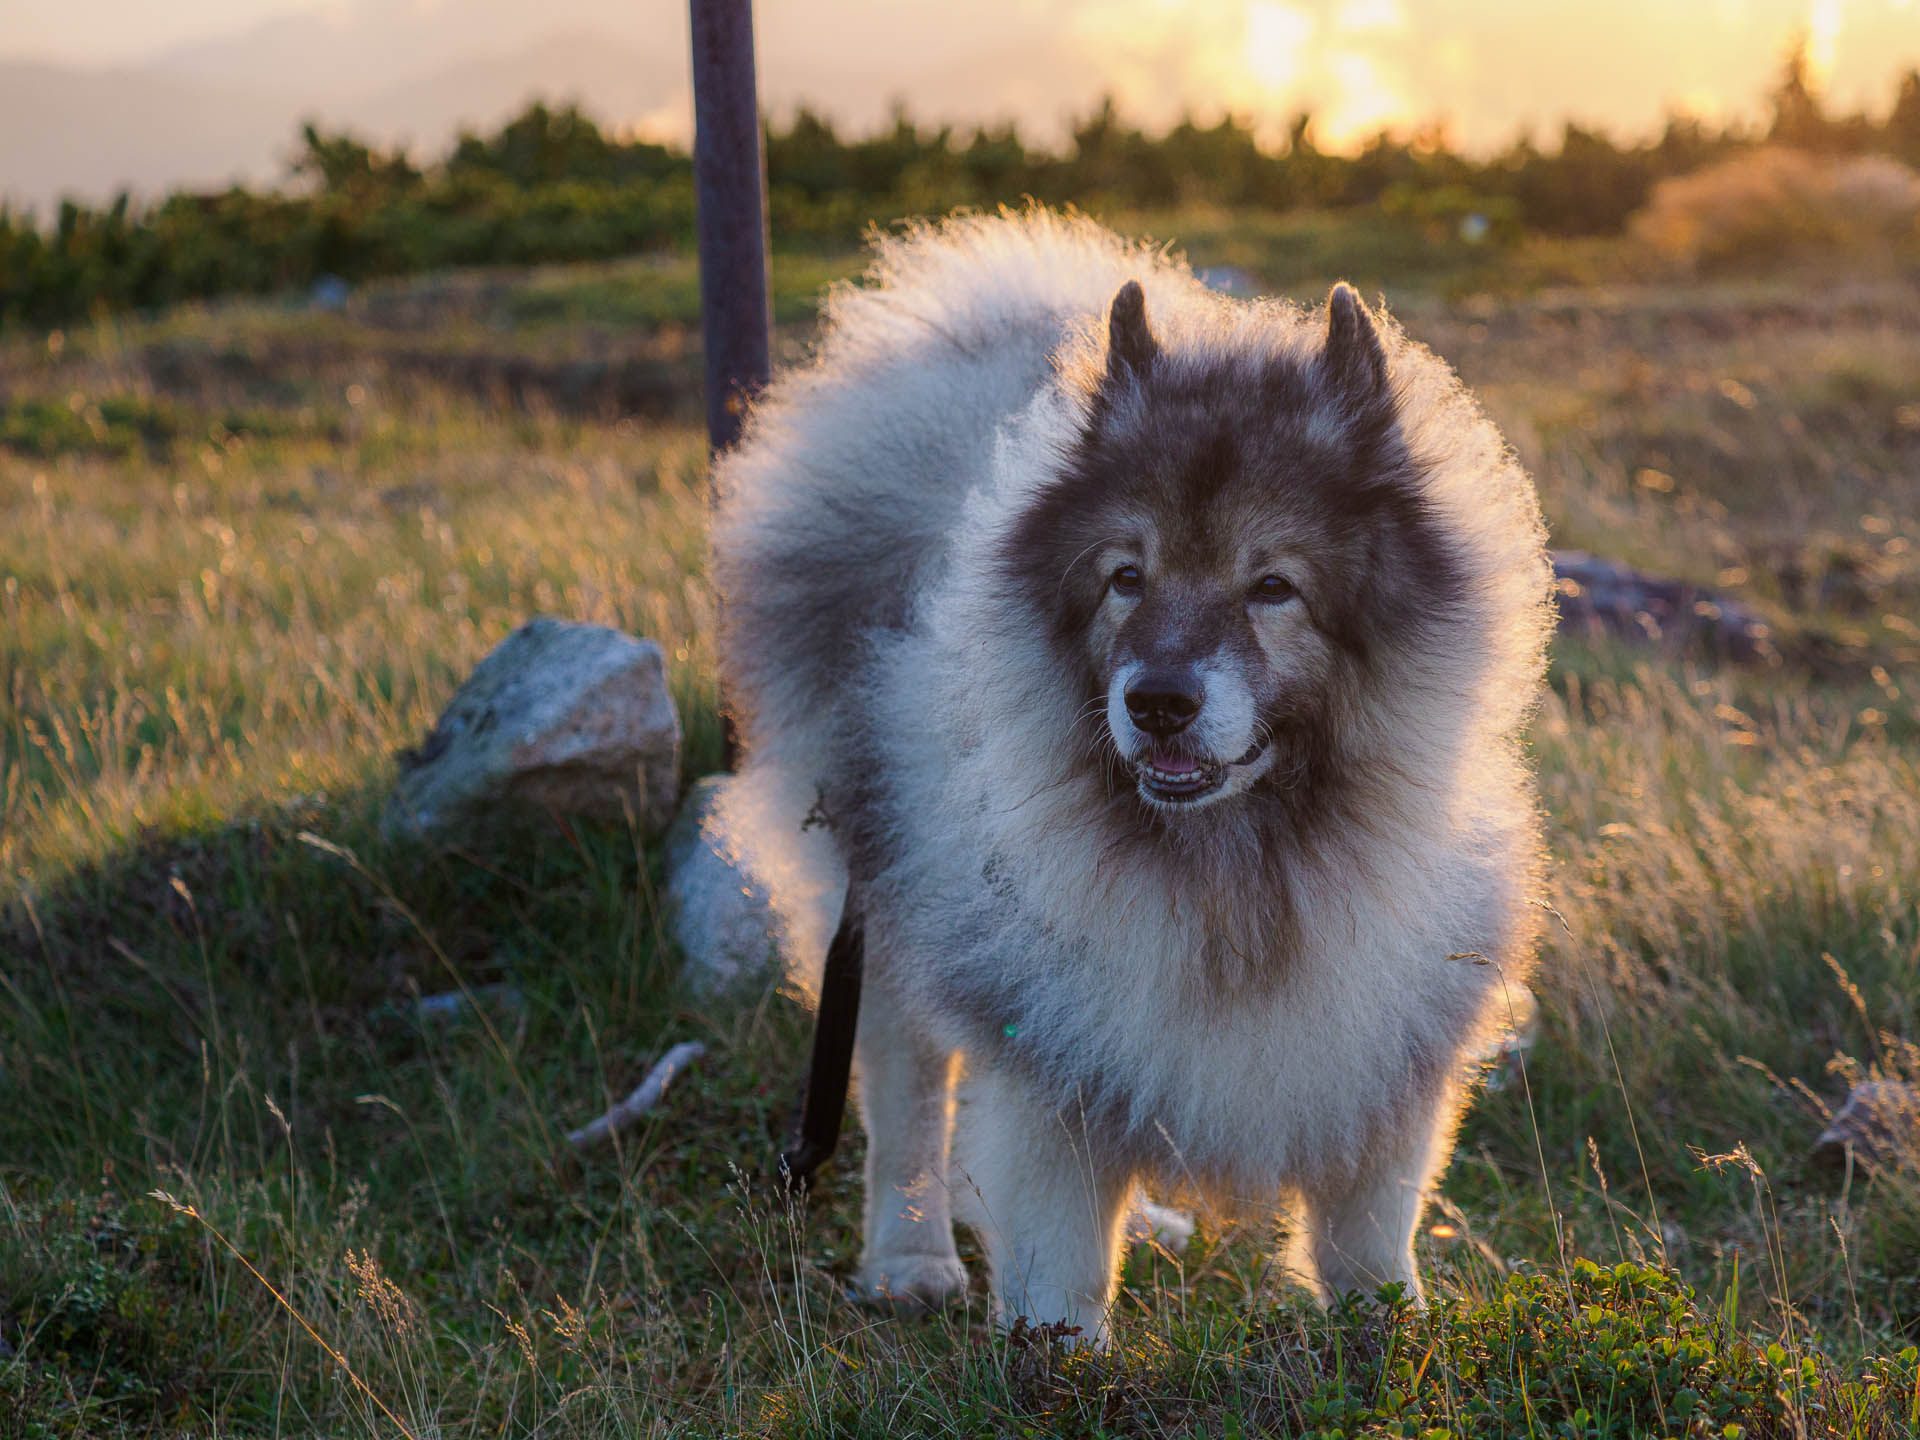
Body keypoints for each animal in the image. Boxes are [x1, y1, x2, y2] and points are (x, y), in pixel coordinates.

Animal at [714, 208, 1551, 1351]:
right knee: (908, 1098)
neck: (1239, 863)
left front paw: (1391, 1337)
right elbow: (1059, 1241)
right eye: (1126, 578)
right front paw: (1056, 1353)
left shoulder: (1385, 1031)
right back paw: (910, 1260)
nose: (1157, 700)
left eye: (1272, 587)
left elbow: (1369, 1229)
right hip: (885, 898)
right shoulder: (1044, 1031)